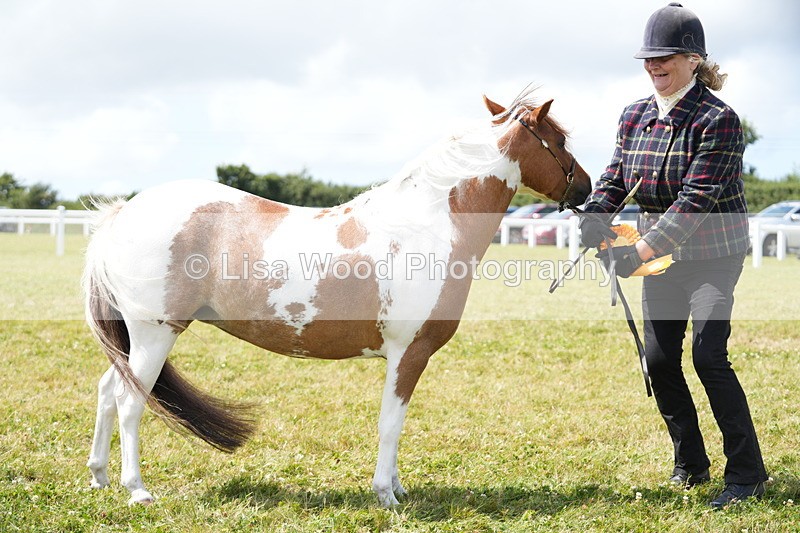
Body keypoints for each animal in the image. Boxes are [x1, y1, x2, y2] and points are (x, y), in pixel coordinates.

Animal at [82, 89, 592, 507]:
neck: (429, 225)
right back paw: (137, 490)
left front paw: (398, 487)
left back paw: (100, 478)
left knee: (107, 392)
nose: (586, 187)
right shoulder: (409, 353)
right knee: (129, 402)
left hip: (136, 340)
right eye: (560, 141)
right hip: (154, 333)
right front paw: (386, 494)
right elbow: (391, 423)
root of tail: (123, 212)